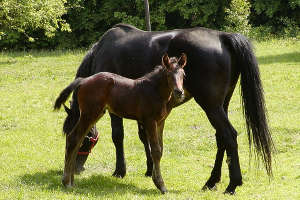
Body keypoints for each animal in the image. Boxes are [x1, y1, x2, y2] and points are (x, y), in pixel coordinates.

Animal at [53, 53, 185, 194]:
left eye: (183, 74)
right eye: (169, 75)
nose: (179, 92)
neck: (155, 91)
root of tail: (83, 80)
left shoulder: (161, 122)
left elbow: (161, 149)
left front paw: (157, 181)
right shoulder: (150, 121)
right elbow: (155, 150)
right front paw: (161, 185)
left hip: (95, 114)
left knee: (78, 139)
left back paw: (71, 181)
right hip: (89, 114)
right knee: (73, 138)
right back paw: (66, 182)